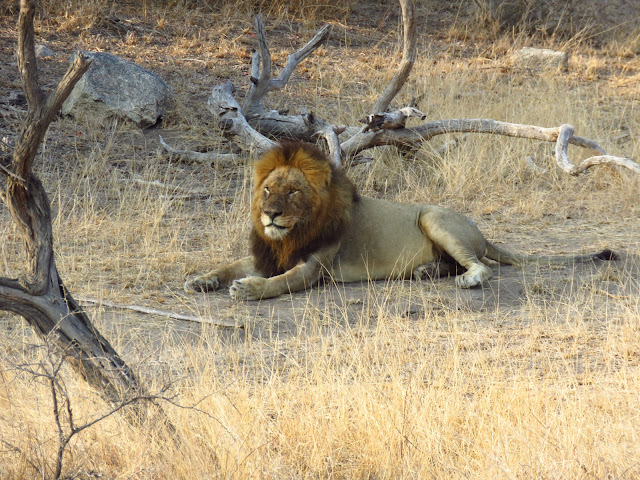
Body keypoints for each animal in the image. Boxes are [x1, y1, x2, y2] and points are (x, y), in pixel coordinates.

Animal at [184, 141, 616, 300]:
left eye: (293, 192)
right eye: (268, 190)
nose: (270, 213)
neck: (290, 234)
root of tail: (480, 230)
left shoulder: (313, 268)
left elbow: (282, 281)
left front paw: (249, 289)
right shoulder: (268, 253)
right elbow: (229, 265)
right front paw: (202, 279)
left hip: (433, 218)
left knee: (483, 265)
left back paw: (466, 279)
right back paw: (426, 271)